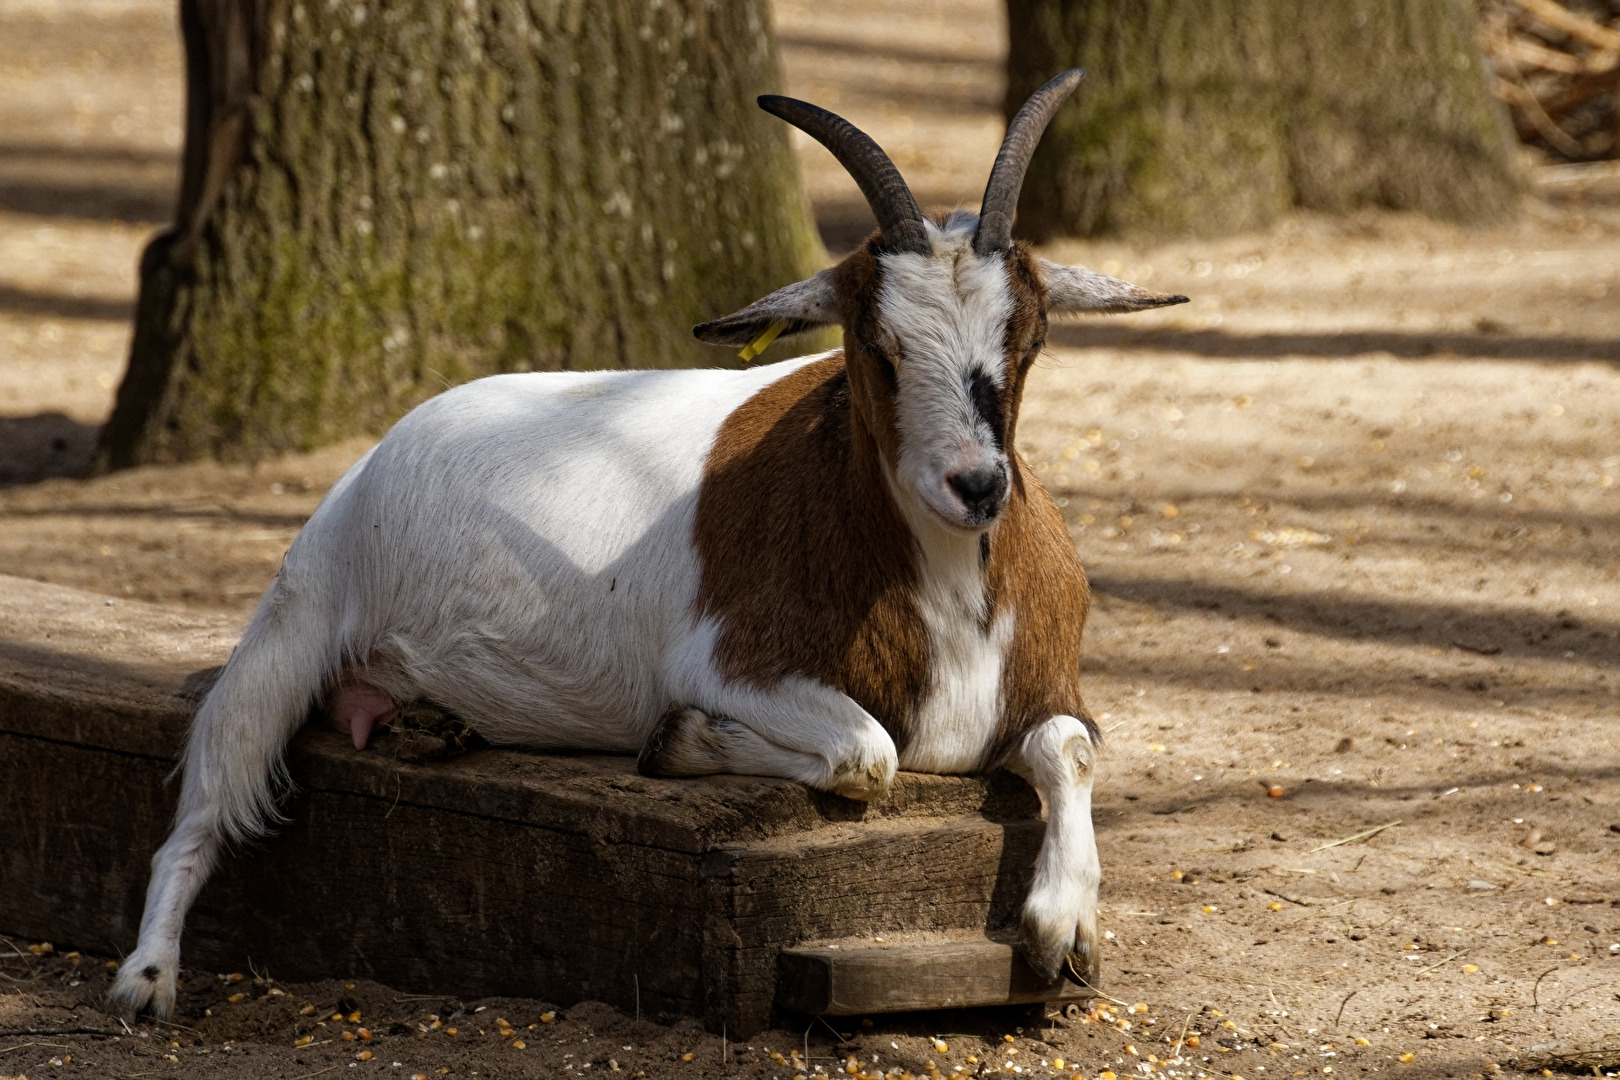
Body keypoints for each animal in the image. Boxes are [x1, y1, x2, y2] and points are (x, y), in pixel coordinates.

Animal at [109, 69, 1187, 1018]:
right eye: (876, 348)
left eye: (1030, 339)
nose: (976, 485)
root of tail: (387, 446)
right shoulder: (732, 663)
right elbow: (868, 754)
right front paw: (685, 740)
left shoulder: (1042, 688)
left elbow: (1068, 748)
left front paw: (1064, 928)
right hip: (294, 623)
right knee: (204, 802)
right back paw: (146, 982)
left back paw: (431, 727)